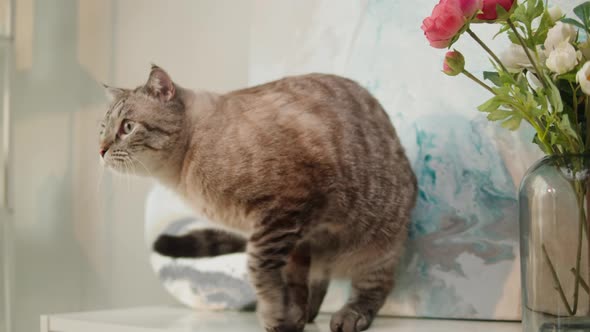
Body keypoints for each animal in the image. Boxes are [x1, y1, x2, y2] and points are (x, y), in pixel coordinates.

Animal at [99, 65, 418, 332]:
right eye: (102, 130)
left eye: (127, 127)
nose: (100, 150)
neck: (182, 175)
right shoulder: (289, 235)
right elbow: (286, 283)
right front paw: (287, 318)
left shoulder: (281, 212)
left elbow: (259, 269)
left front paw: (274, 316)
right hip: (311, 244)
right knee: (315, 282)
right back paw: (305, 315)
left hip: (376, 243)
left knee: (374, 286)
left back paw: (351, 315)